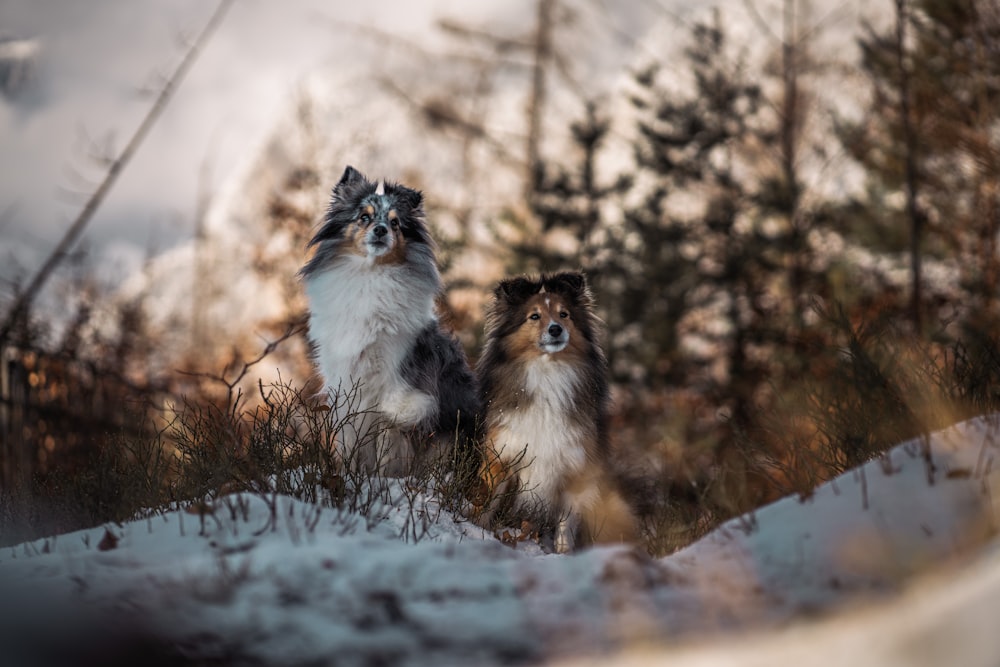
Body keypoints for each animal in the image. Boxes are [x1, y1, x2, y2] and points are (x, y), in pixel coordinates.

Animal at [470, 272, 636, 552]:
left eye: (564, 314)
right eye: (534, 316)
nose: (555, 329)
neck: (548, 371)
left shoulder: (575, 466)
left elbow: (566, 522)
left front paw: (562, 553)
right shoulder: (502, 456)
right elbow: (487, 504)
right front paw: (475, 531)